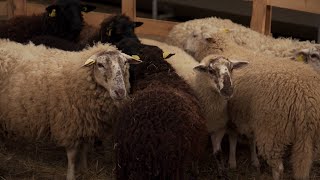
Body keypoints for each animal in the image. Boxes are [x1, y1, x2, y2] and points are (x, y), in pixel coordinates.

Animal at [0, 39, 141, 180]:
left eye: (125, 63)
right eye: (100, 65)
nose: (120, 92)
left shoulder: (86, 123)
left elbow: (85, 148)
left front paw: (85, 169)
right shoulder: (70, 125)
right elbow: (72, 156)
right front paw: (71, 175)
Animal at [180, 29, 320, 179]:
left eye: (194, 35)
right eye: (314, 55)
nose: (184, 47)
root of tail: (306, 99)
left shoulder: (234, 115)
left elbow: (233, 137)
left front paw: (232, 162)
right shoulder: (247, 114)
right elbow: (250, 138)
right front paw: (252, 161)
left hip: (272, 130)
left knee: (278, 167)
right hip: (310, 137)